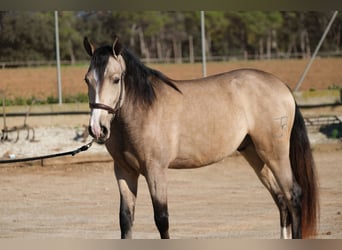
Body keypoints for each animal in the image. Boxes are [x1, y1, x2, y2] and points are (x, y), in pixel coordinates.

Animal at [82, 36, 318, 238]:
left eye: (115, 79)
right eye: (87, 80)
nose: (97, 129)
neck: (143, 110)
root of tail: (282, 87)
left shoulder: (155, 170)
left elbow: (162, 219)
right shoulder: (124, 171)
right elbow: (125, 219)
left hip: (274, 153)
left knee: (293, 196)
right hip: (255, 154)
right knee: (280, 199)